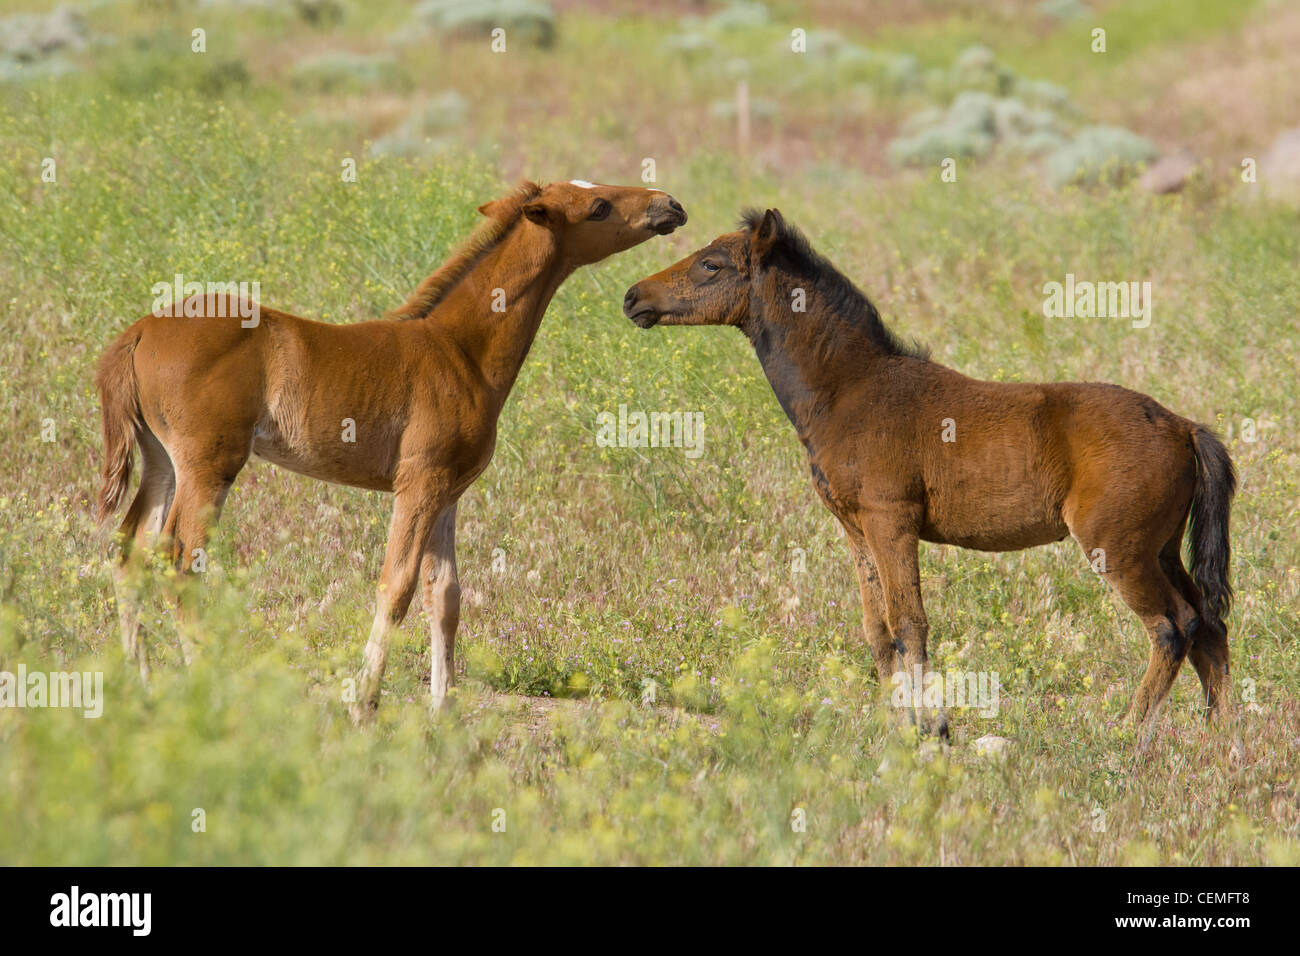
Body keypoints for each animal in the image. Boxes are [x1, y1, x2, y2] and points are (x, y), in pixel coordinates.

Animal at [97, 179, 691, 717]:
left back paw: (138, 685)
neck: (460, 351)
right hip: (208, 464)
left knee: (129, 553)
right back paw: (206, 684)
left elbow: (445, 595)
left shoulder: (449, 491)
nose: (671, 205)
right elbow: (396, 586)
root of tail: (139, 331)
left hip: (160, 460)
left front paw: (442, 712)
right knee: (178, 559)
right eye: (598, 206)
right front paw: (364, 702)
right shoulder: (419, 483)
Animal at [629, 205, 1237, 738]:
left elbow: (909, 624)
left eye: (711, 264)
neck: (849, 390)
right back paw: (1221, 739)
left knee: (1173, 626)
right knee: (1209, 625)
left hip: (1119, 549)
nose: (634, 296)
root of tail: (1183, 426)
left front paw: (933, 728)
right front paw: (892, 725)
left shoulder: (890, 520)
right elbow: (877, 629)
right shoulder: (855, 529)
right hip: (1162, 549)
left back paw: (1126, 734)